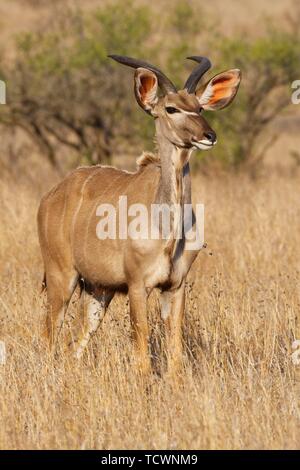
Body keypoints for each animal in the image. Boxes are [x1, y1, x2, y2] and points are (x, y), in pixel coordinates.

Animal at [37, 54, 240, 374]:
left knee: (75, 343)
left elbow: (175, 352)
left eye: (199, 107)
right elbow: (142, 352)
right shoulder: (137, 286)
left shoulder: (175, 286)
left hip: (98, 291)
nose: (209, 136)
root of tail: (50, 196)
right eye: (171, 108)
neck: (168, 230)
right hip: (62, 277)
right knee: (50, 335)